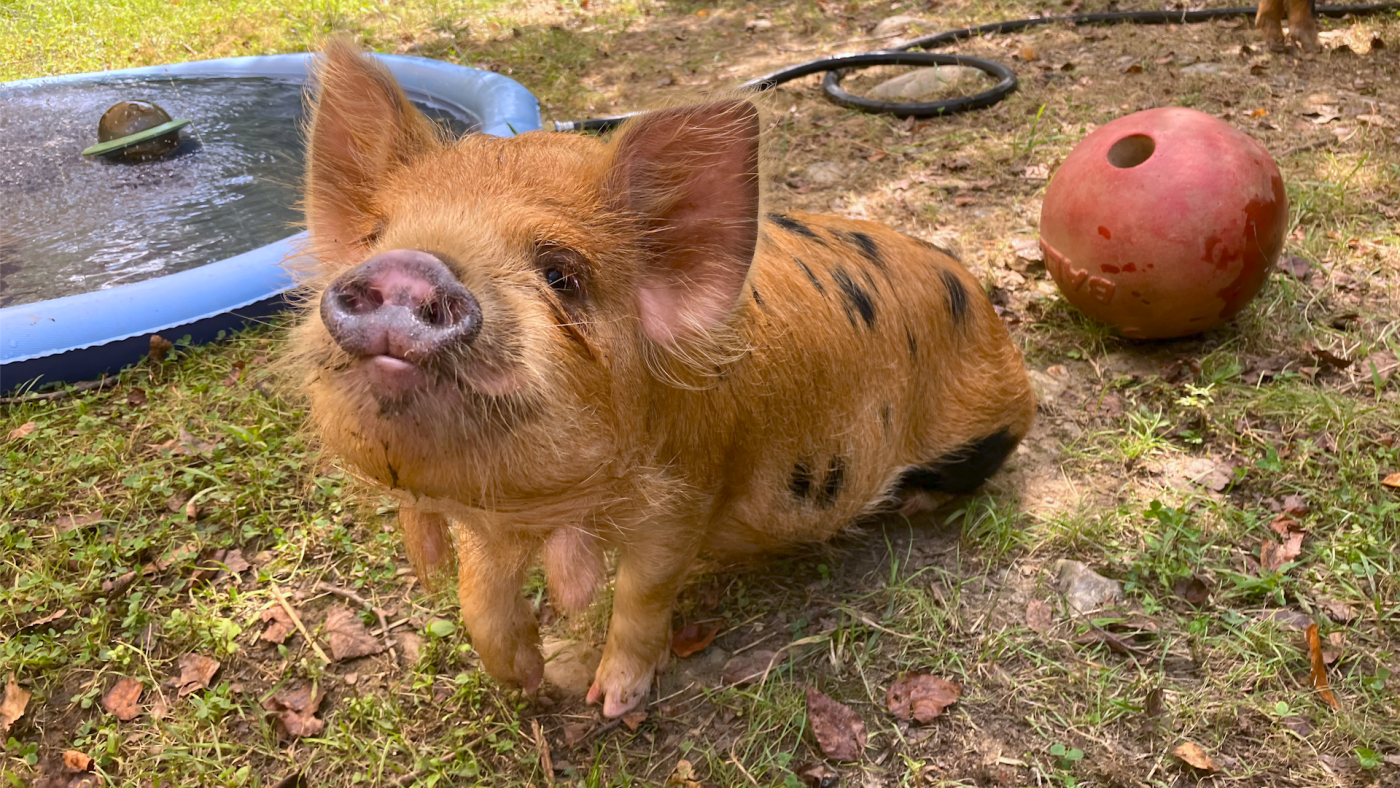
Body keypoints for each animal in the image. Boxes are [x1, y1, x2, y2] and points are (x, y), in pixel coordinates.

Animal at [292, 40, 1041, 716]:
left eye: (562, 274)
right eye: (375, 237)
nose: (408, 265)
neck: (546, 506)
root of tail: (986, 306)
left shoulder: (688, 495)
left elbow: (642, 593)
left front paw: (610, 704)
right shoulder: (486, 515)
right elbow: (480, 597)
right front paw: (528, 686)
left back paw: (904, 507)